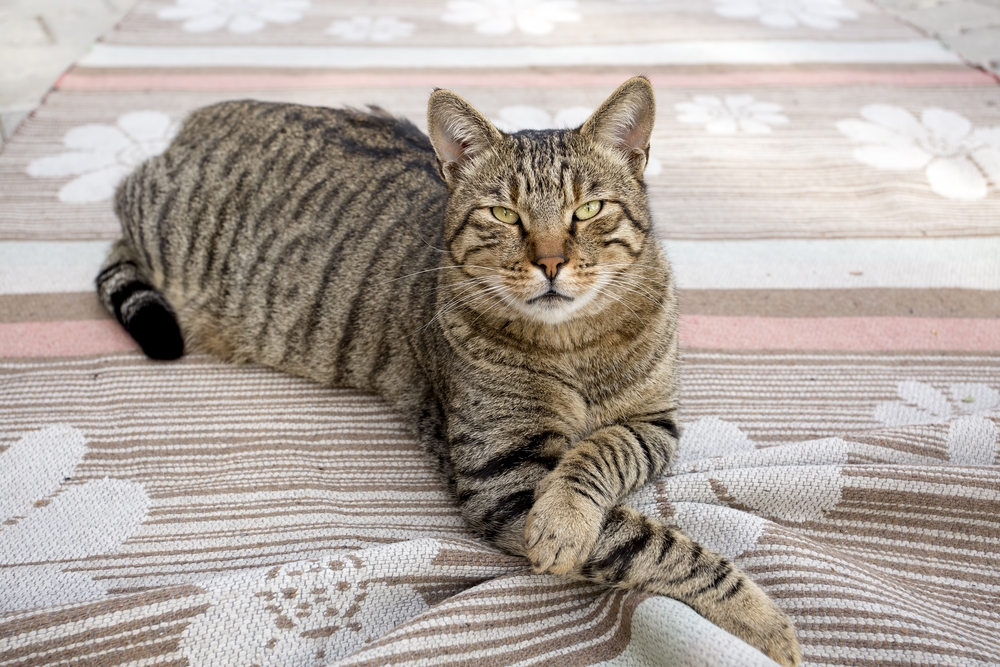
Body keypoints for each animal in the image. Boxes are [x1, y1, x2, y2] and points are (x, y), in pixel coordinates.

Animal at [99, 77, 804, 664]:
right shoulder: (504, 477)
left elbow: (601, 453)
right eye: (504, 214)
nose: (551, 261)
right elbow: (658, 546)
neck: (573, 344)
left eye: (586, 210)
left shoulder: (655, 423)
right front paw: (762, 620)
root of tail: (188, 128)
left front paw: (566, 516)